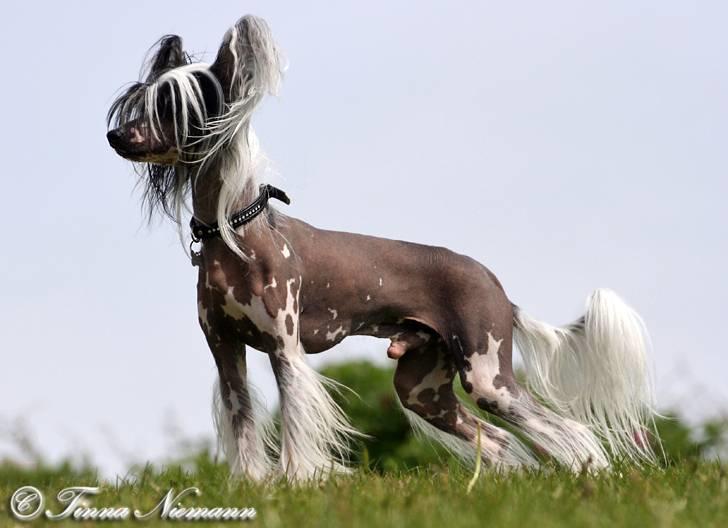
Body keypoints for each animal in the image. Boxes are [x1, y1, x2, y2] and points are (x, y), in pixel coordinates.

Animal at [106, 15, 660, 482]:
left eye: (171, 105)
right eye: (141, 100)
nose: (114, 135)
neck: (236, 232)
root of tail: (500, 290)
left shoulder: (286, 351)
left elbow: (295, 427)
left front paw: (297, 484)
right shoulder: (226, 354)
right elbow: (243, 427)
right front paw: (253, 489)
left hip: (487, 376)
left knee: (567, 430)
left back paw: (592, 473)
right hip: (421, 389)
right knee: (500, 441)